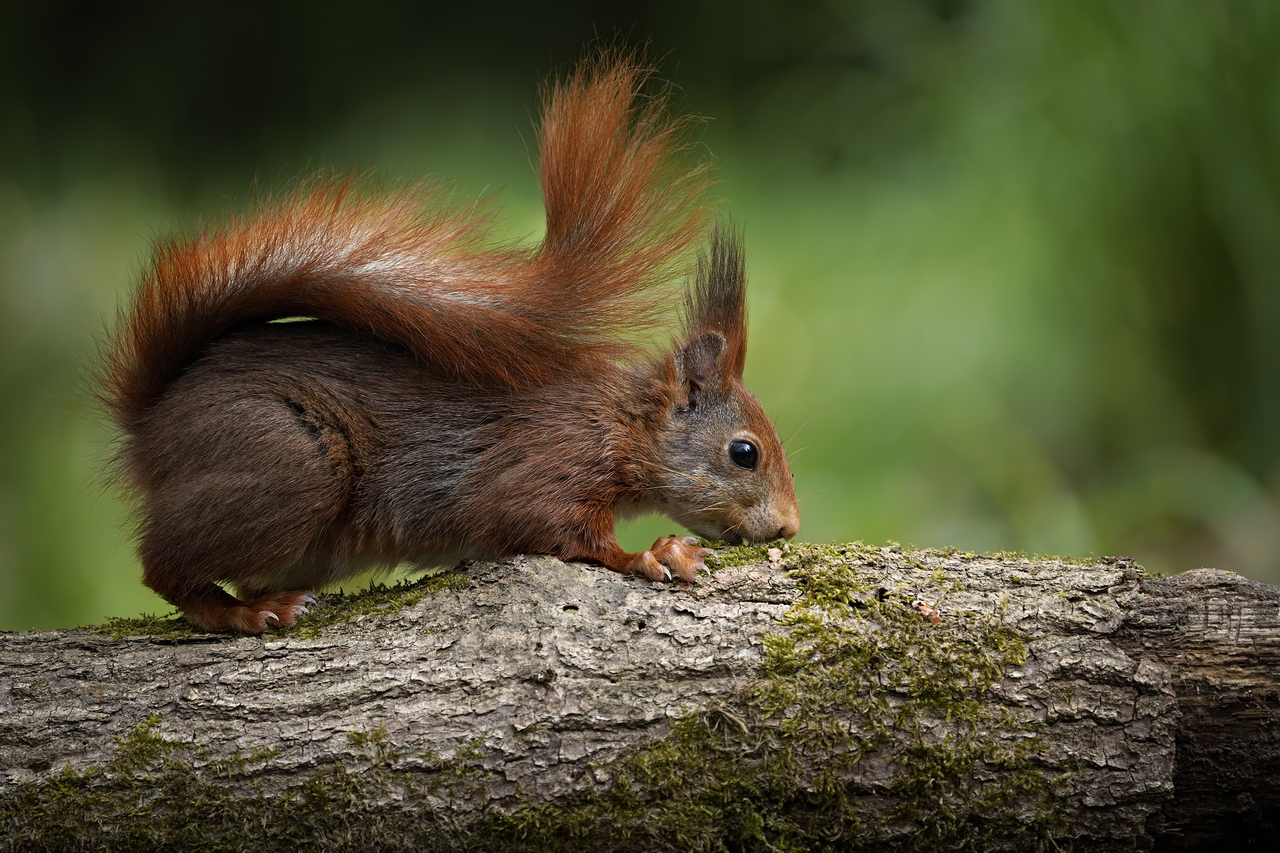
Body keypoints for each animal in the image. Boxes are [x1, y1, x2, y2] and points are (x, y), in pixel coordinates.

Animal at [99, 49, 793, 627]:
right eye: (745, 453)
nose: (789, 528)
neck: (619, 421)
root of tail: (151, 421)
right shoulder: (551, 460)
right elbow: (551, 527)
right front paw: (654, 553)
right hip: (288, 460)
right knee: (161, 565)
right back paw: (240, 613)